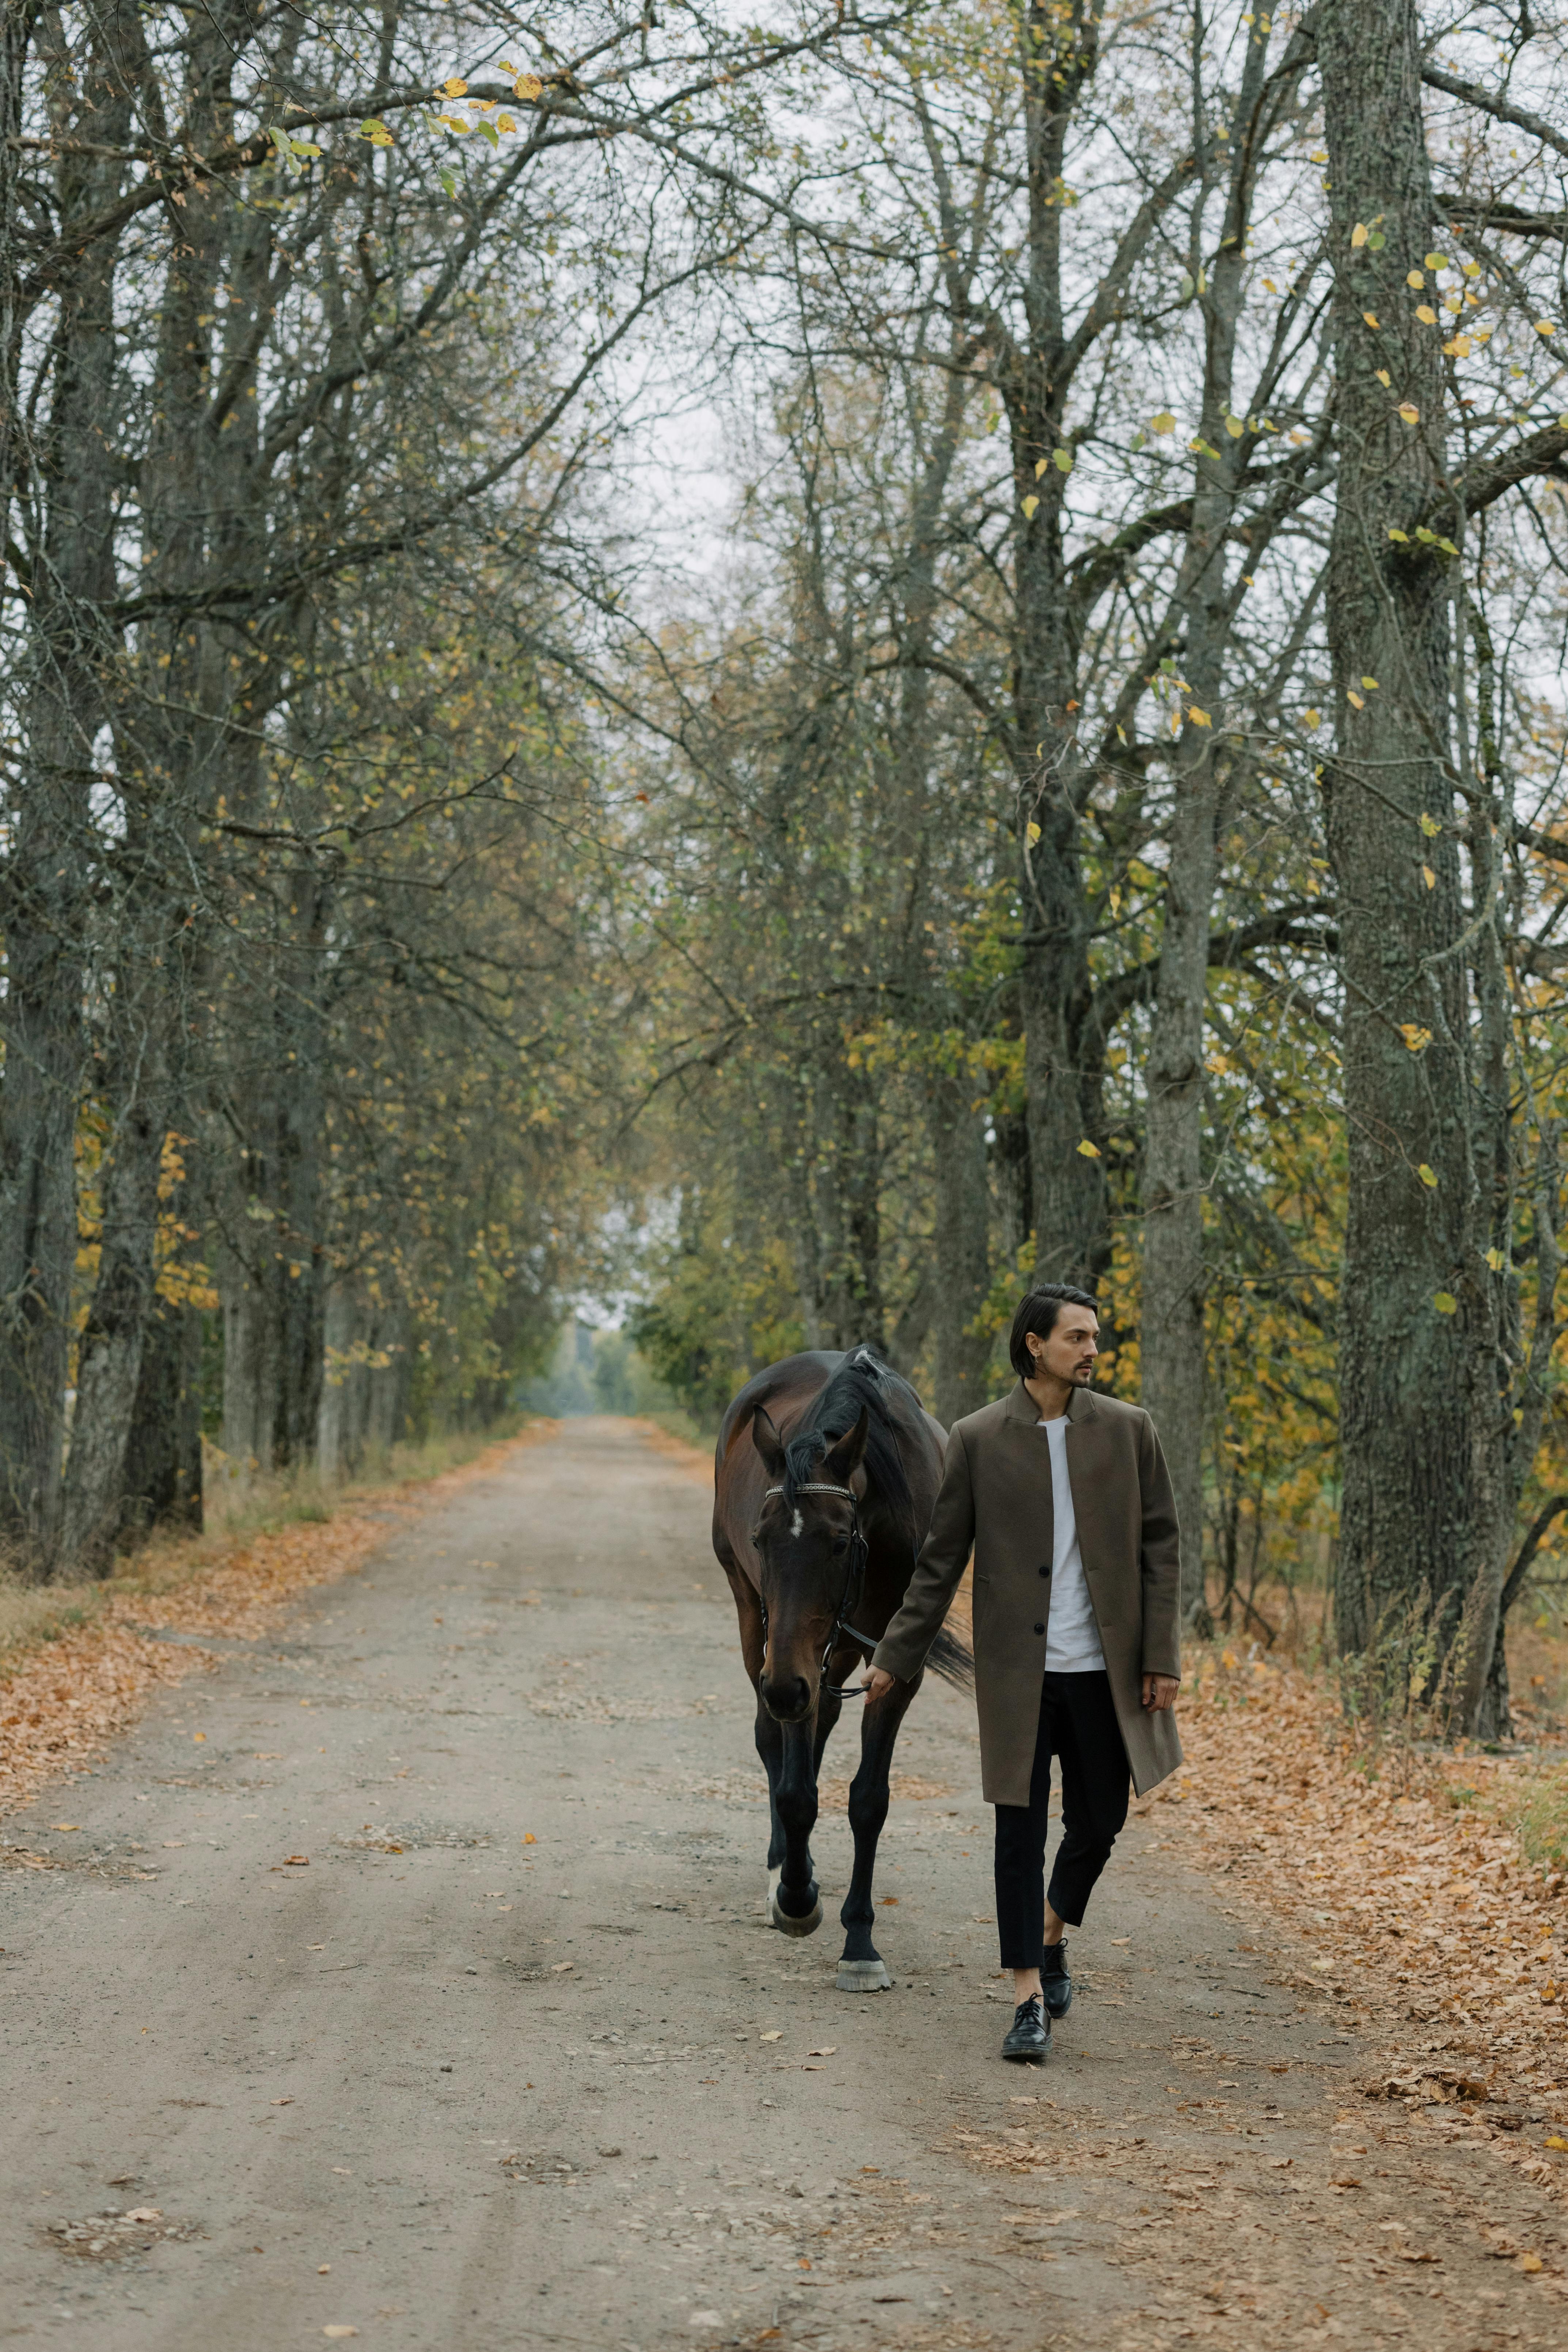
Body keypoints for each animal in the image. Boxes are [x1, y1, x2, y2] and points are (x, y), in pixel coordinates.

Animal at [710, 1345, 968, 1985]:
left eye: (837, 1542)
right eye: (761, 1539)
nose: (784, 1689)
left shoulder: (894, 1663)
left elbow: (868, 1800)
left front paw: (860, 1943)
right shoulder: (789, 1659)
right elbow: (796, 1789)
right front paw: (795, 1896)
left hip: (835, 1651)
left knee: (818, 1722)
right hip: (757, 1622)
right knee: (772, 1738)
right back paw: (782, 1868)